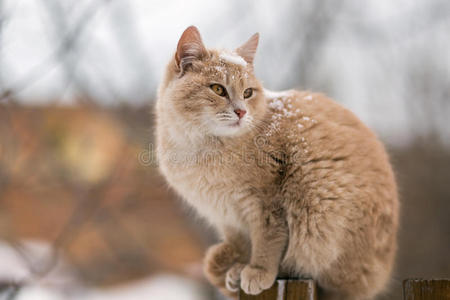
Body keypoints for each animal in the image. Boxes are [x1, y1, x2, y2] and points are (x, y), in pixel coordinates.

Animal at [155, 26, 398, 300]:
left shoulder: (266, 203)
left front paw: (259, 269)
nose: (241, 112)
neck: (203, 150)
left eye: (248, 93)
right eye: (218, 89)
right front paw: (240, 265)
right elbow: (242, 243)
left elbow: (268, 239)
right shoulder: (228, 216)